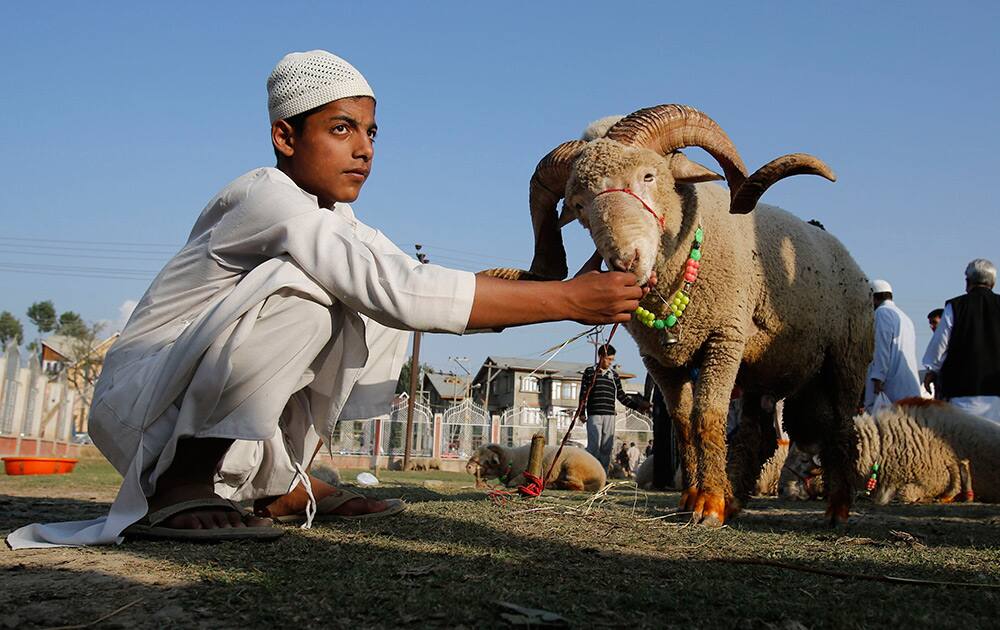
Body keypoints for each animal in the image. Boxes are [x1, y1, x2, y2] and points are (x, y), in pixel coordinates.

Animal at [488, 105, 872, 528]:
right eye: (578, 205)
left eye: (649, 176)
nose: (625, 261)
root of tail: (847, 257)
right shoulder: (660, 360)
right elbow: (684, 424)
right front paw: (691, 498)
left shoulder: (723, 339)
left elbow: (708, 418)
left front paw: (710, 505)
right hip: (760, 372)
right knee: (758, 436)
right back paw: (737, 499)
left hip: (845, 361)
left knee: (841, 429)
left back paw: (837, 508)